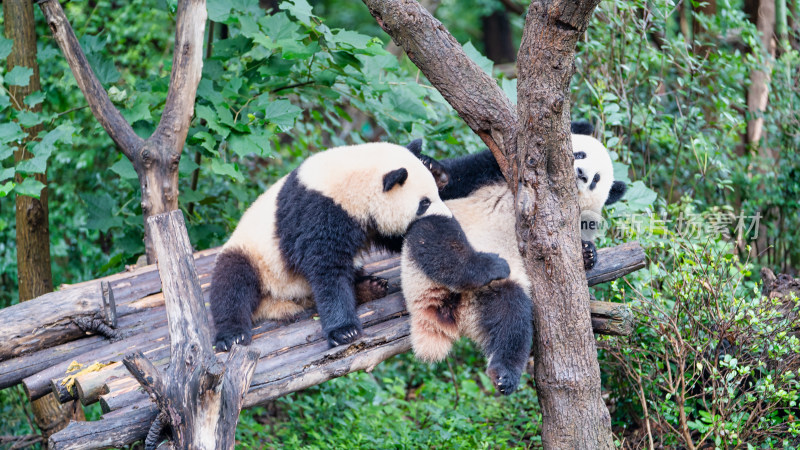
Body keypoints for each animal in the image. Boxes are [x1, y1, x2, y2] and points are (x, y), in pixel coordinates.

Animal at [208, 142, 456, 350]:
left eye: (435, 194)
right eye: (424, 203)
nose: (446, 217)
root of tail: (279, 301)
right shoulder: (319, 211)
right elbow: (327, 268)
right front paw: (344, 331)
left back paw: (370, 287)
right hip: (254, 254)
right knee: (232, 283)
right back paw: (232, 335)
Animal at [404, 123, 628, 394]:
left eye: (595, 179)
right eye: (579, 154)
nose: (581, 173)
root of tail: (454, 305)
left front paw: (588, 253)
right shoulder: (496, 170)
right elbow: (458, 177)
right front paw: (434, 170)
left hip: (500, 289)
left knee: (512, 315)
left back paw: (504, 375)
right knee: (435, 235)